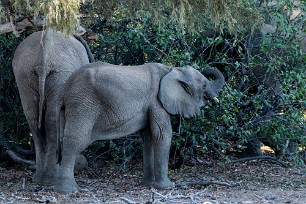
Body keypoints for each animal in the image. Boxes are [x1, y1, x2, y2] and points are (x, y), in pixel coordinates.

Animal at [11, 29, 94, 186]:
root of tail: (44, 56)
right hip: (61, 72)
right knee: (52, 119)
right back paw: (51, 179)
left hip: (24, 73)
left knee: (33, 119)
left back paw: (39, 179)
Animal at [55, 61, 225, 193]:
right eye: (204, 85)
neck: (171, 69)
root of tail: (65, 89)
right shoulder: (157, 101)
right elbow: (162, 134)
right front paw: (167, 187)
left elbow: (148, 136)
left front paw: (148, 184)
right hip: (83, 104)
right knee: (74, 140)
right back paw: (69, 190)